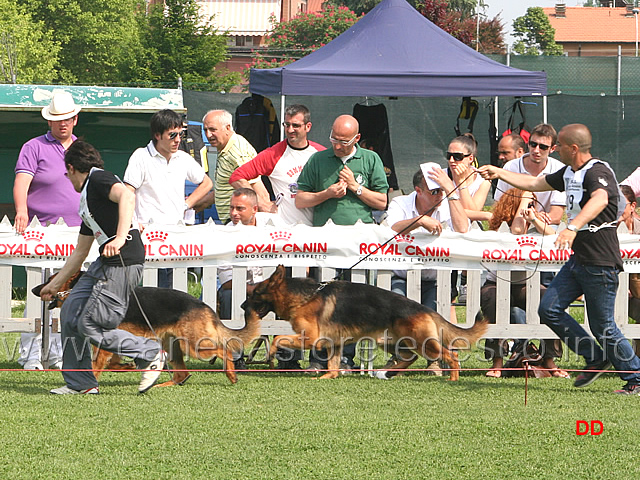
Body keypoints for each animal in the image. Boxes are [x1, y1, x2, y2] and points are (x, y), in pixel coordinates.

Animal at [31, 274, 262, 386]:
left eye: (50, 279)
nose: (34, 289)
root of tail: (205, 306)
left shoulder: (104, 345)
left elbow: (96, 365)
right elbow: (113, 363)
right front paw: (127, 367)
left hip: (194, 346)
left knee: (225, 350)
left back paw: (231, 374)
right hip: (173, 347)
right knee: (182, 375)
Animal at [242, 264, 488, 380]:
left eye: (256, 294)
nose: (243, 307)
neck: (306, 297)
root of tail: (425, 308)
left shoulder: (311, 338)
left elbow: (279, 339)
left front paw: (271, 353)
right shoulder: (333, 344)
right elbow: (332, 364)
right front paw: (329, 376)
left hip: (423, 343)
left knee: (451, 356)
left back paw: (453, 377)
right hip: (389, 341)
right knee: (408, 358)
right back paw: (388, 373)